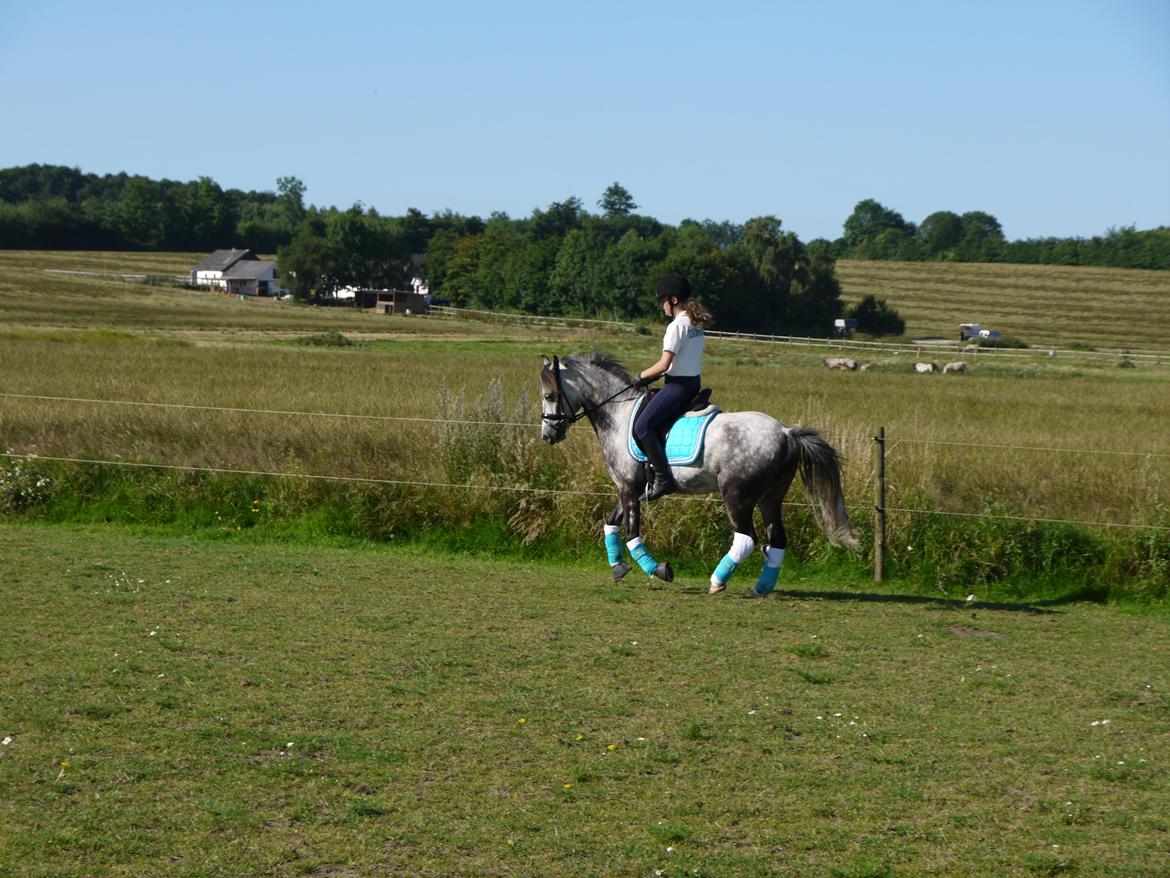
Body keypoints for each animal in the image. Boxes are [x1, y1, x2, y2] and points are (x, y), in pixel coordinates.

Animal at [539, 351, 860, 596]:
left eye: (550, 395)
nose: (548, 435)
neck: (619, 415)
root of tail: (786, 432)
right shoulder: (630, 488)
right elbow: (610, 522)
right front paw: (618, 567)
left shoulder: (629, 487)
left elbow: (632, 534)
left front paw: (659, 570)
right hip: (770, 497)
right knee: (777, 539)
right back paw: (762, 588)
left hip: (737, 496)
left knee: (746, 537)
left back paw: (718, 581)